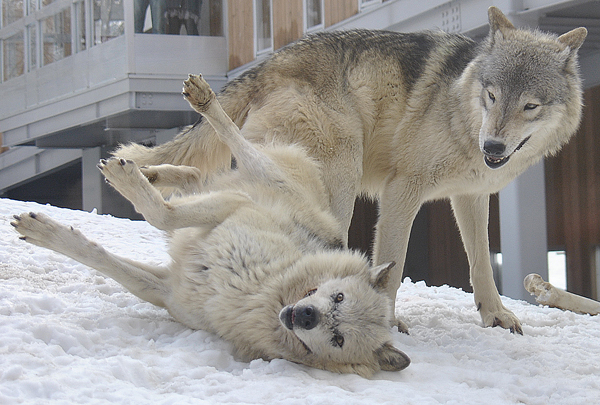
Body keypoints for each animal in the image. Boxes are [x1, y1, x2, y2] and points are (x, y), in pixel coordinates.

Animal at [11, 74, 410, 378]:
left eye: (339, 338)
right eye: (339, 296)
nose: (307, 316)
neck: (267, 289)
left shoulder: (168, 290)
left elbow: (108, 256)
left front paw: (43, 232)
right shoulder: (234, 208)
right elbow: (160, 217)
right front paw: (48, 227)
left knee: (195, 178)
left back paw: (144, 173)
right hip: (264, 174)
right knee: (220, 151)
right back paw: (173, 136)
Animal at [112, 7, 584, 332]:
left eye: (530, 106)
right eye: (492, 95)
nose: (493, 146)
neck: (460, 116)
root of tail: (267, 64)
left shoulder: (470, 195)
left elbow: (481, 260)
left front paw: (496, 315)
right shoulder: (402, 190)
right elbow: (393, 263)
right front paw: (387, 321)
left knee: (205, 176)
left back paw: (145, 174)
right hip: (341, 177)